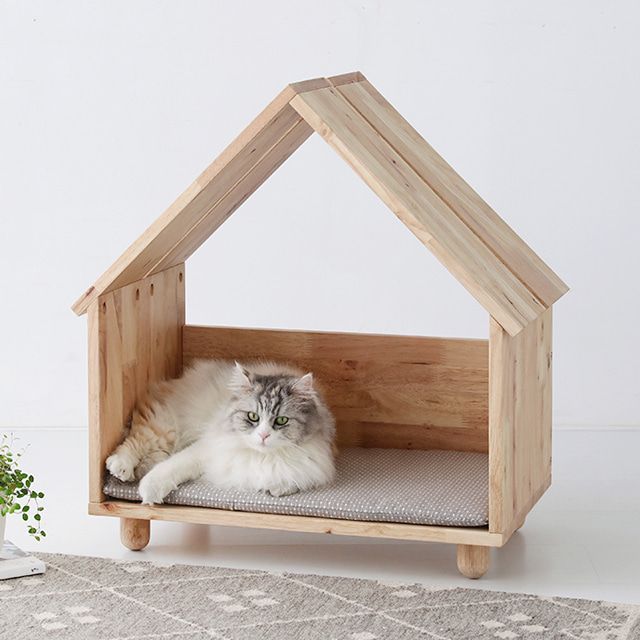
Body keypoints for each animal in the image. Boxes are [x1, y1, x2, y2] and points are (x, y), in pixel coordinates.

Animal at [105, 359, 336, 504]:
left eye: (281, 420)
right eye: (253, 417)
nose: (263, 436)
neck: (261, 457)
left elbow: (291, 480)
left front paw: (276, 488)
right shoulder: (207, 448)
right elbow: (172, 467)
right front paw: (148, 491)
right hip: (163, 429)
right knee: (133, 441)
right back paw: (121, 468)